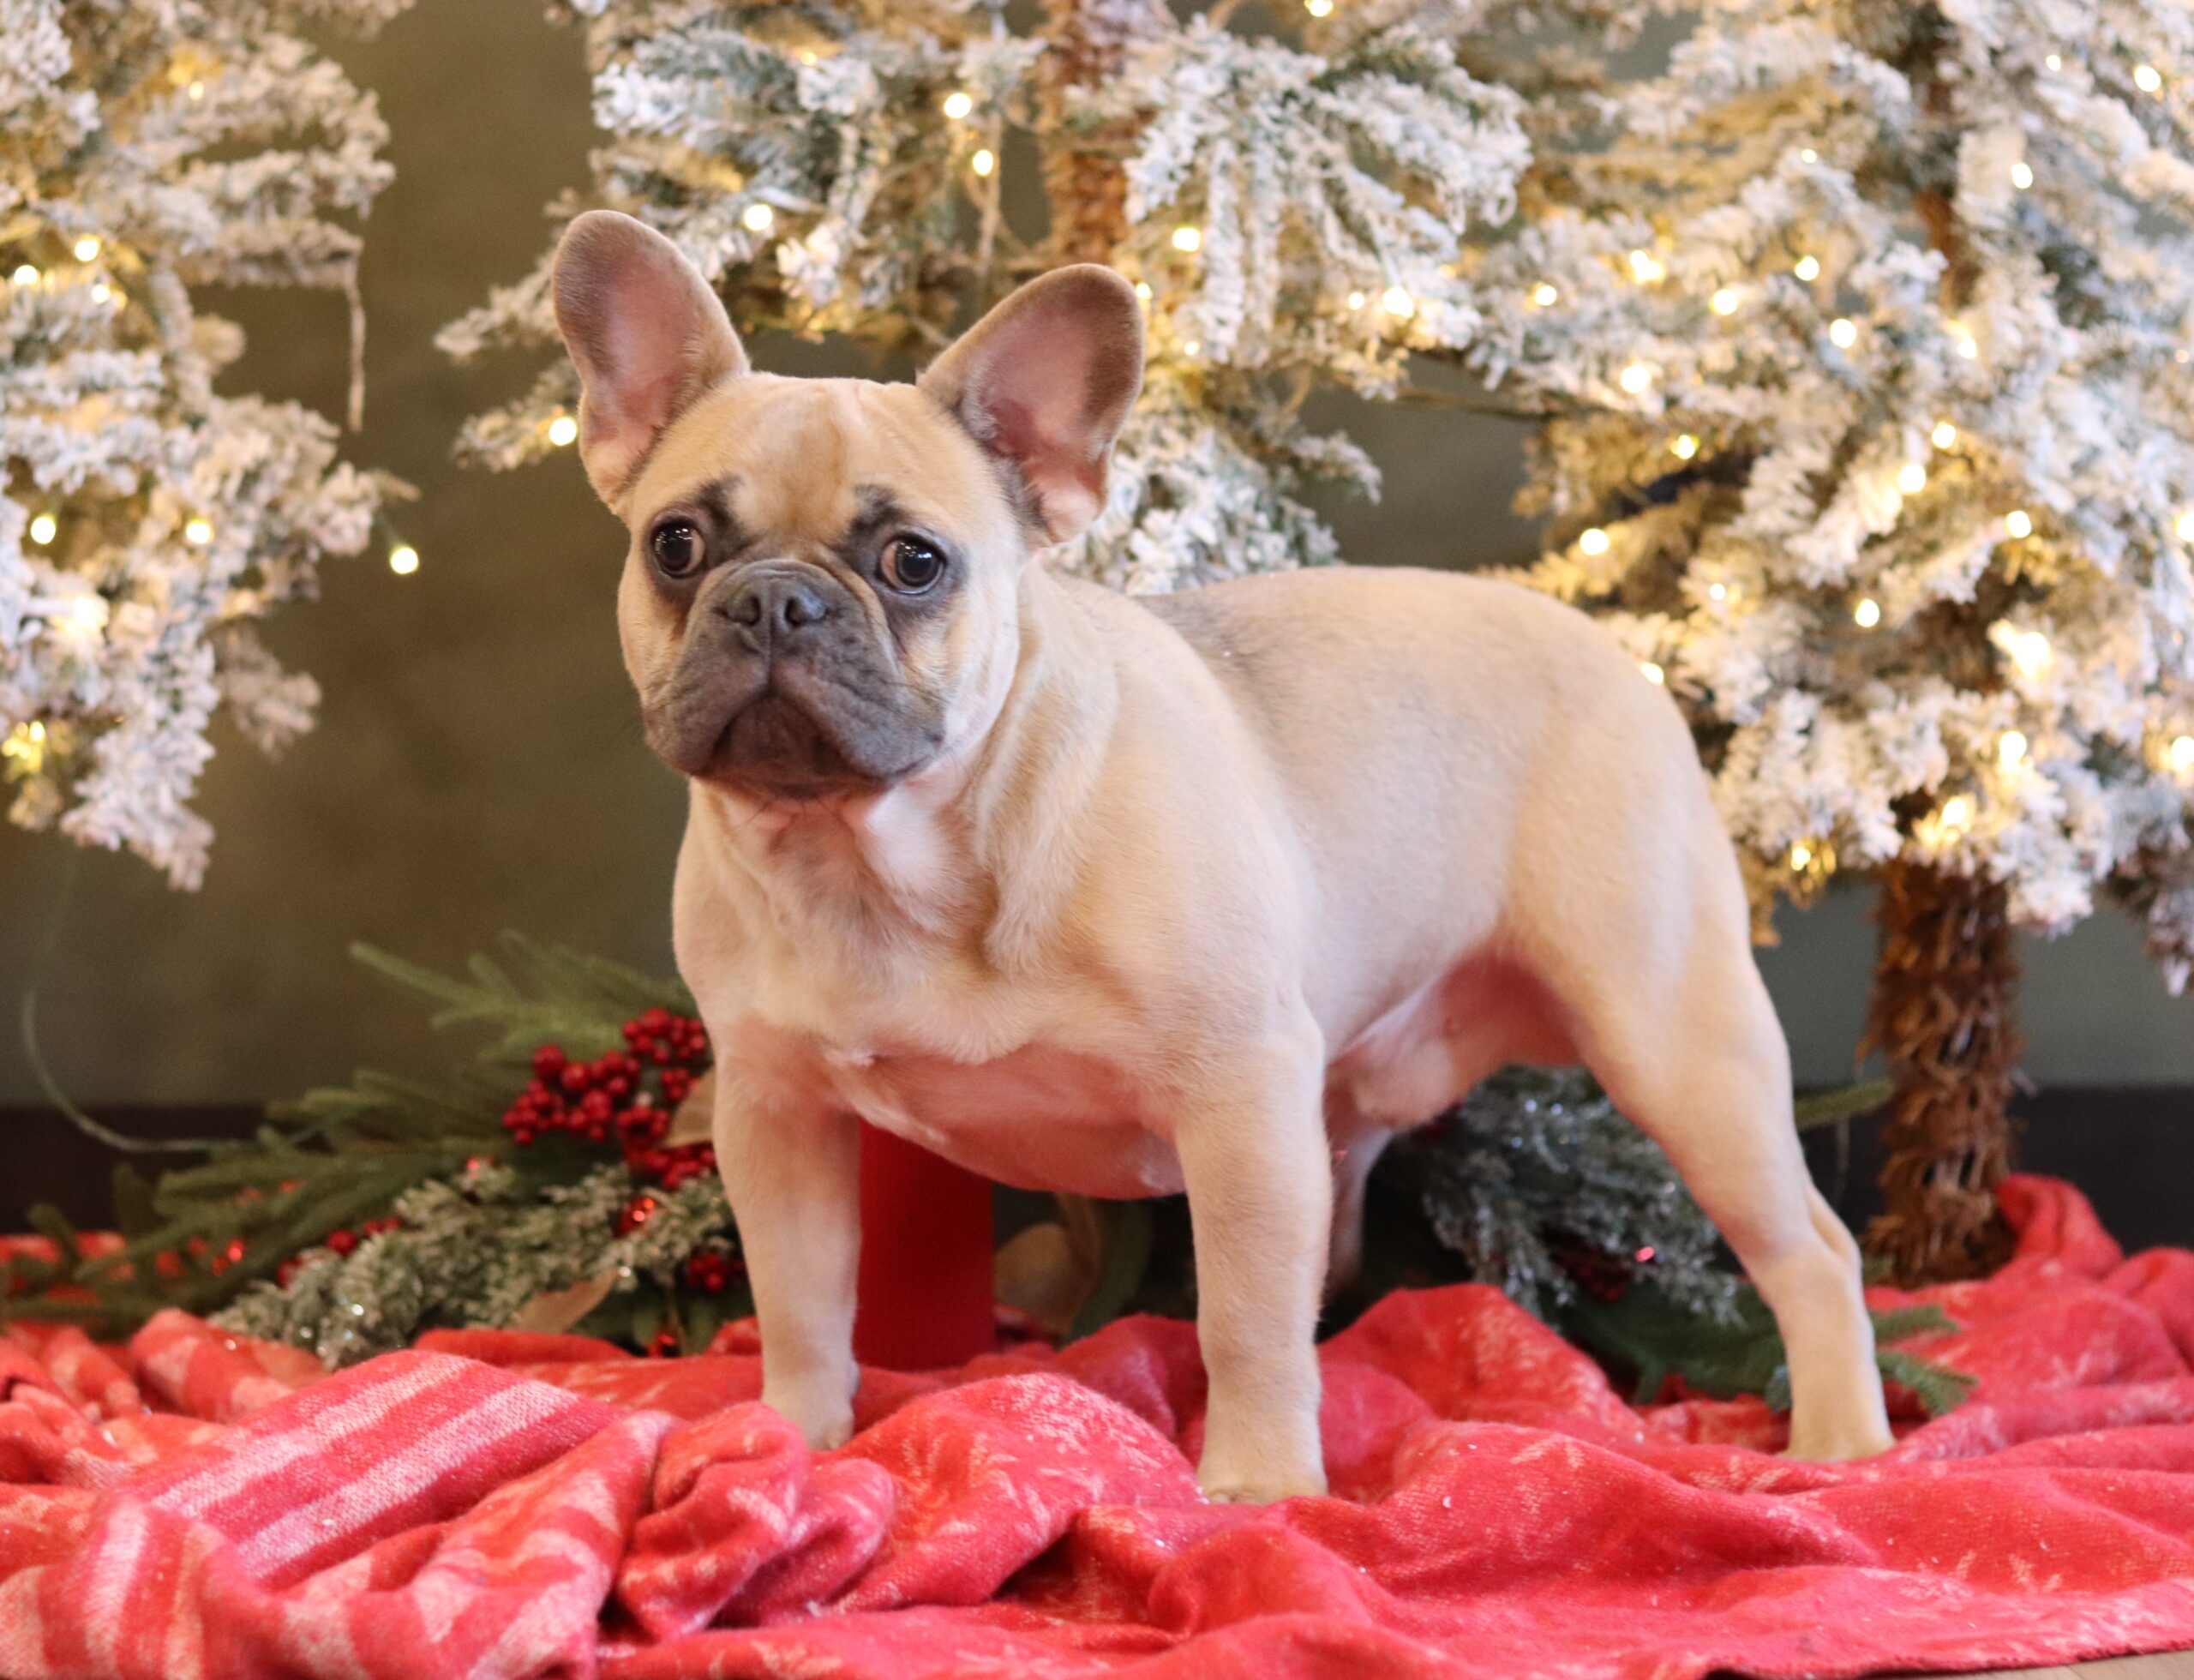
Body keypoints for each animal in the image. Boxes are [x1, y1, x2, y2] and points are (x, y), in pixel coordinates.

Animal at [549, 210, 1895, 1502]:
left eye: (912, 563)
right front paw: (791, 1435)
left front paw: (1256, 1483)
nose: (775, 599)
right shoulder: (777, 1117)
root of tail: (1615, 654)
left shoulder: (1239, 1098)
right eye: (676, 546)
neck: (885, 858)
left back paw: (1843, 1445)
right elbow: (800, 1301)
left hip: (1675, 1043)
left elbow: (1242, 1316)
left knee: (1813, 1252)